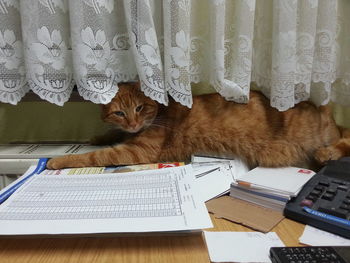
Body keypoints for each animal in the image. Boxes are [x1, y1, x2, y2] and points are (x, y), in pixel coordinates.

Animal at [46, 82, 350, 170]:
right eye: (120, 112)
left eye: (140, 108)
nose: (132, 123)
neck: (159, 112)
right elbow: (108, 137)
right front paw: (98, 136)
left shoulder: (137, 151)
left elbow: (93, 157)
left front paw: (57, 161)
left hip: (318, 137)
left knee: (344, 142)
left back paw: (327, 153)